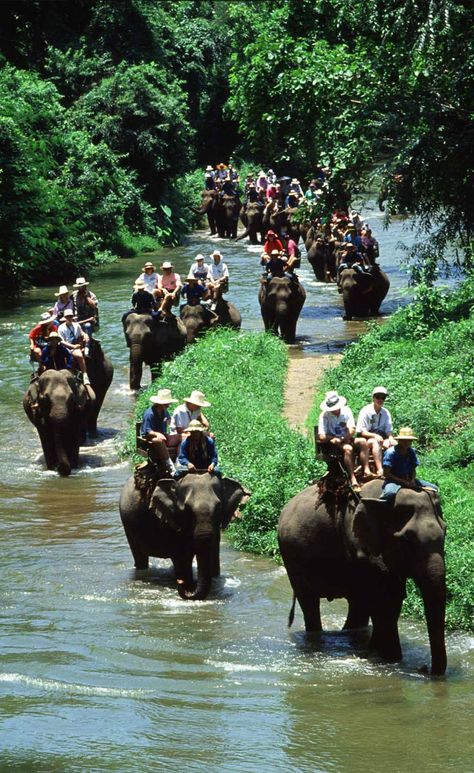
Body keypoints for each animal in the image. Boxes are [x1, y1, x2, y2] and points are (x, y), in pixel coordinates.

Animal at [118, 468, 250, 600]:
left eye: (219, 507)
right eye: (187, 508)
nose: (180, 583)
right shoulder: (171, 518)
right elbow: (181, 555)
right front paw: (188, 585)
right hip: (128, 525)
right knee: (140, 557)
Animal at [276, 480, 446, 672]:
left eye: (445, 533)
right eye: (408, 540)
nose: (423, 668)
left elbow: (392, 597)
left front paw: (381, 655)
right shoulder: (358, 543)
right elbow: (384, 598)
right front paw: (390, 659)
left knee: (357, 603)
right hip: (291, 557)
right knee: (309, 602)